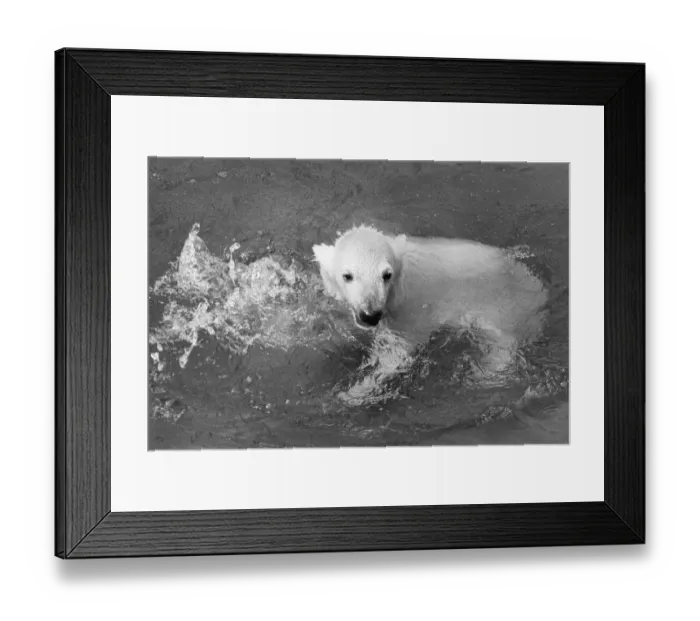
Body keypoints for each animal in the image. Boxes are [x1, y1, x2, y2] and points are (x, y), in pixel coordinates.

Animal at [312, 225, 548, 402]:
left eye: (386, 275)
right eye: (347, 275)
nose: (370, 315)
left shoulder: (410, 312)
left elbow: (398, 353)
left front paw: (351, 393)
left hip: (504, 308)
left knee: (501, 346)